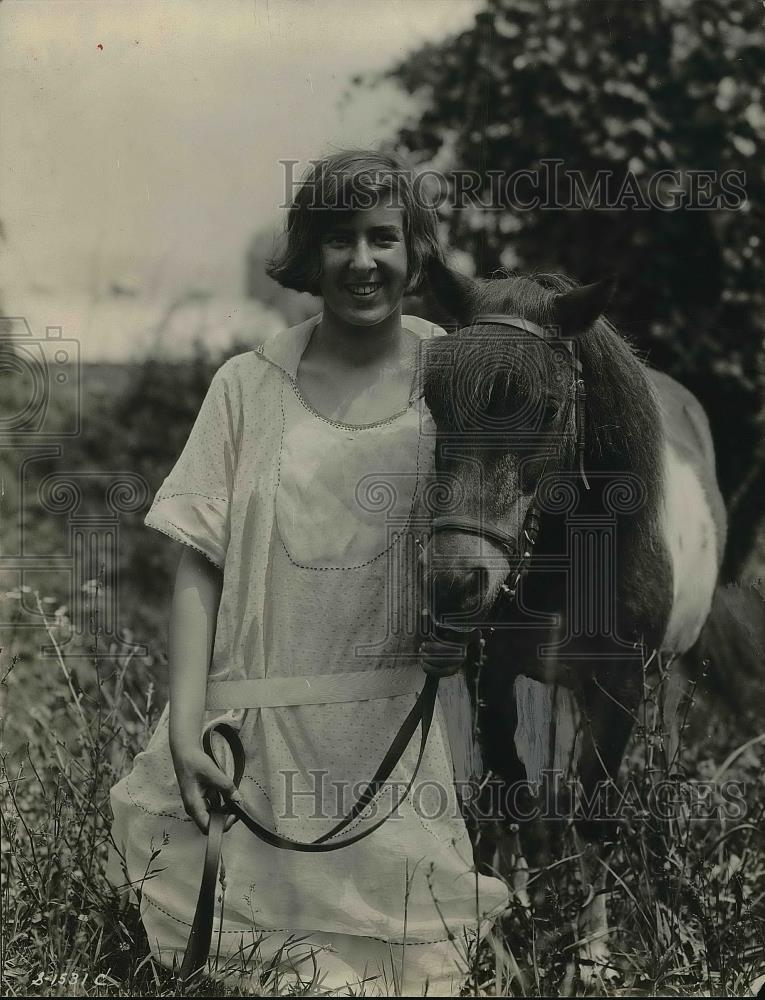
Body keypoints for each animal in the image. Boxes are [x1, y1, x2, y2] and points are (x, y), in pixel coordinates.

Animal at [418, 256, 728, 984]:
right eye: (433, 400)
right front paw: (509, 924)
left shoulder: (617, 690)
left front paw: (590, 957)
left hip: (668, 676)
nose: (455, 581)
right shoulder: (493, 675)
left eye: (551, 408)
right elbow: (511, 793)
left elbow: (596, 819)